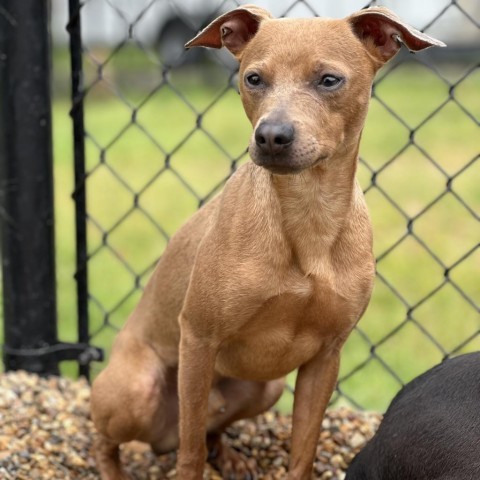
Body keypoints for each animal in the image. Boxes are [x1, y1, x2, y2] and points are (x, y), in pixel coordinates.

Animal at [91, 4, 446, 480]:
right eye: (253, 78)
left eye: (329, 80)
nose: (271, 136)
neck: (307, 219)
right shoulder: (198, 339)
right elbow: (190, 454)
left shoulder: (325, 359)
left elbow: (303, 449)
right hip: (139, 391)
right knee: (119, 440)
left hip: (266, 388)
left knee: (209, 427)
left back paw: (228, 455)